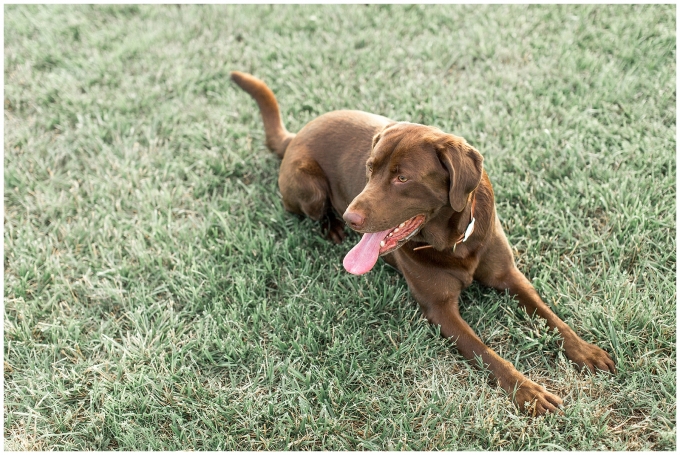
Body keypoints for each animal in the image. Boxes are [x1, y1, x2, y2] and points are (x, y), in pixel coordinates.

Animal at [230, 71, 616, 416]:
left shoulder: (510, 276)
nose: (351, 216)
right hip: (308, 189)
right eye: (369, 169)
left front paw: (586, 351)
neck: (455, 242)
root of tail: (296, 135)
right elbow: (486, 353)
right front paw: (529, 392)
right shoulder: (440, 309)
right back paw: (330, 226)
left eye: (402, 178)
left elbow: (551, 317)